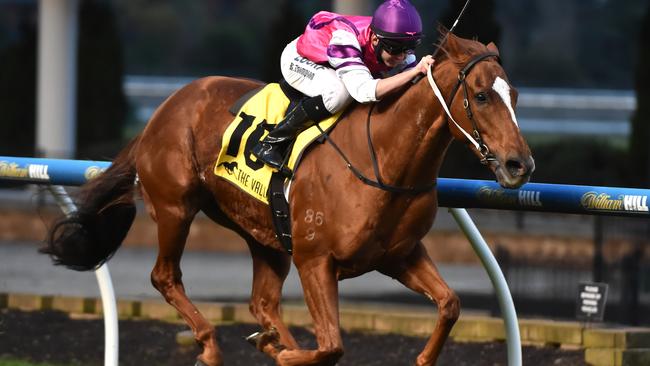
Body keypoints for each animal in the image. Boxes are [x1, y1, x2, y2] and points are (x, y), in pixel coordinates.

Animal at [44, 32, 532, 366]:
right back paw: (213, 345)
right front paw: (282, 352)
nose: (519, 165)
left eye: (515, 94)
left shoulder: (399, 254)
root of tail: (165, 107)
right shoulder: (316, 260)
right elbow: (332, 345)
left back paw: (270, 338)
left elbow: (450, 303)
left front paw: (424, 358)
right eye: (482, 95)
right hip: (175, 206)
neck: (382, 158)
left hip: (265, 234)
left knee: (261, 302)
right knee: (165, 277)